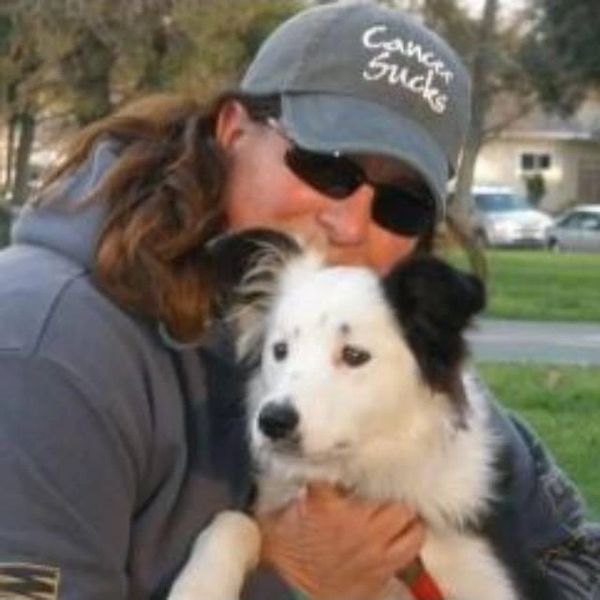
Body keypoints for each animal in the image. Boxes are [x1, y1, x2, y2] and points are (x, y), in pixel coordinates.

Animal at [169, 230, 564, 600]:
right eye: (280, 350)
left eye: (354, 355)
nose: (273, 422)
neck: (365, 474)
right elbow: (233, 521)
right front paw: (199, 587)